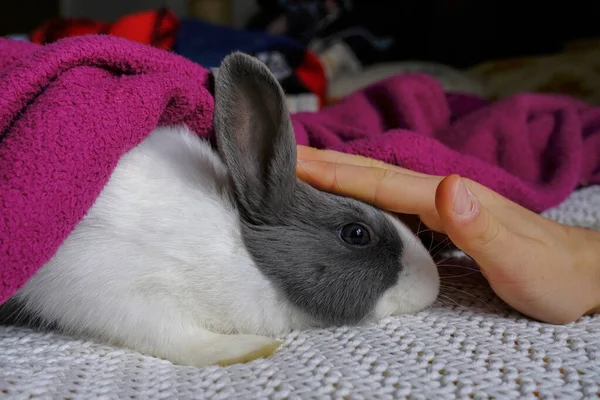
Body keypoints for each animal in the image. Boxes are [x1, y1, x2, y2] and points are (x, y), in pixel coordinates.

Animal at [4, 51, 440, 368]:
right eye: (356, 233)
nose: (433, 282)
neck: (246, 255)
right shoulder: (100, 287)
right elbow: (172, 336)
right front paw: (247, 348)